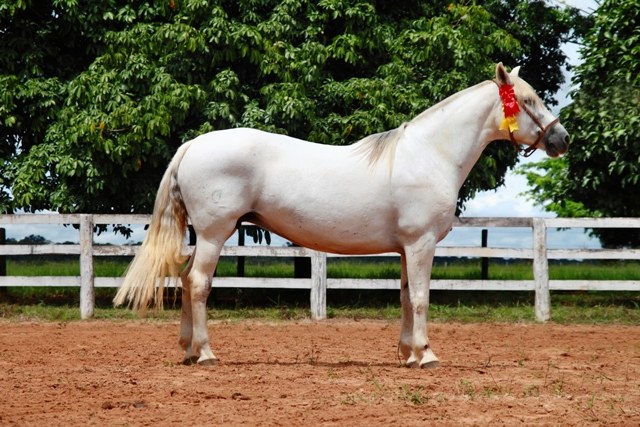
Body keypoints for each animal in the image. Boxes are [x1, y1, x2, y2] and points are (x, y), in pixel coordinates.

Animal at [114, 63, 569, 368]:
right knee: (198, 283)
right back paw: (206, 352)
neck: (429, 154)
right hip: (213, 234)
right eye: (527, 100)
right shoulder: (421, 244)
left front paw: (407, 353)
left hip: (203, 236)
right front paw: (426, 355)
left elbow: (405, 297)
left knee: (185, 279)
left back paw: (188, 350)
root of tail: (193, 145)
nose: (561, 139)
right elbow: (421, 298)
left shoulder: (406, 249)